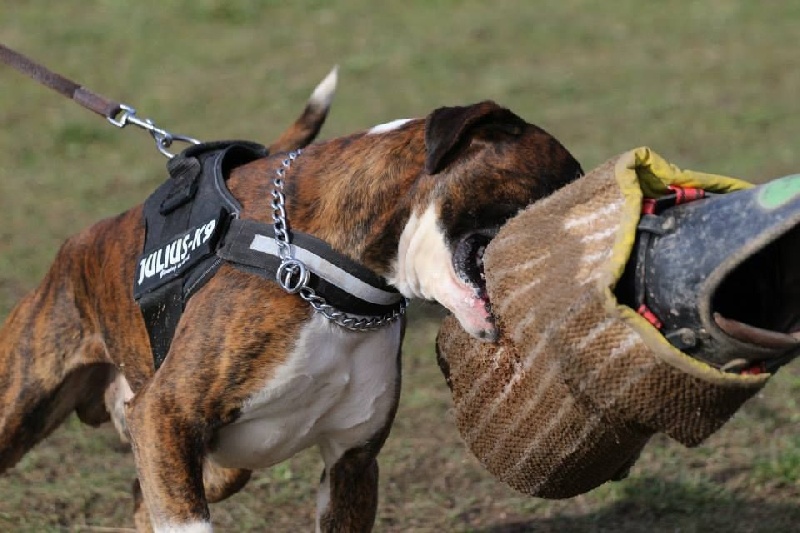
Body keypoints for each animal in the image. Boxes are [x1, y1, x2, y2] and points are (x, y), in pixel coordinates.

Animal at [0, 74, 583, 531]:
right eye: (560, 190)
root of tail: (75, 248)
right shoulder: (164, 414)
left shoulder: (351, 464)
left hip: (217, 467)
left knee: (142, 498)